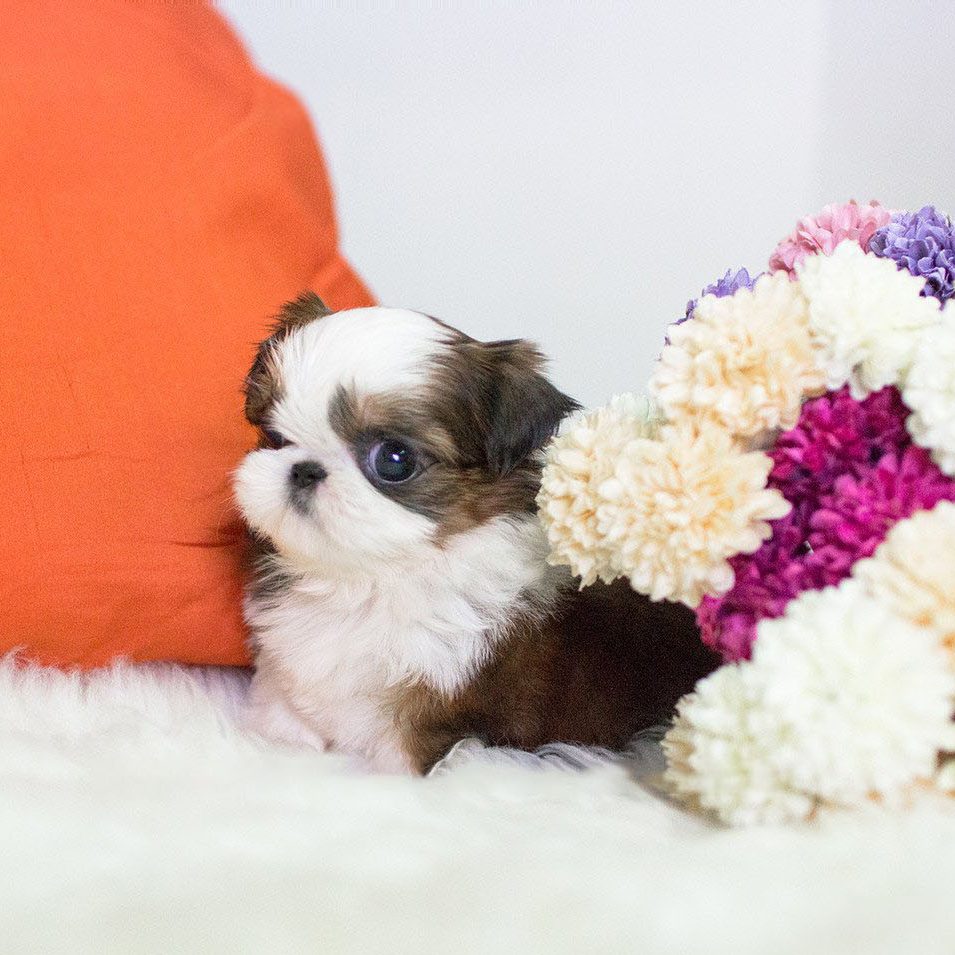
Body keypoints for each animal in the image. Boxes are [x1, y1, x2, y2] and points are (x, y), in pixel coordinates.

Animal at [235, 296, 716, 776]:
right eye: (275, 436)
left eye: (394, 459)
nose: (304, 470)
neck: (367, 582)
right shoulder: (287, 679)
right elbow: (286, 725)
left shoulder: (429, 726)